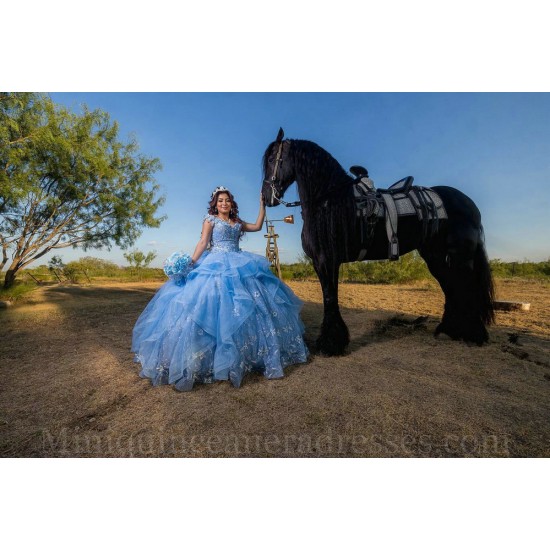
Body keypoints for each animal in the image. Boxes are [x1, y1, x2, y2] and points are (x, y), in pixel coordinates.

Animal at [260, 128, 498, 358]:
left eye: (272, 159)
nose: (265, 197)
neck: (330, 202)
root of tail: (468, 204)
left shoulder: (327, 261)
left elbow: (330, 297)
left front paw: (331, 344)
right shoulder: (321, 263)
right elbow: (329, 297)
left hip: (461, 257)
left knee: (467, 288)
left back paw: (475, 335)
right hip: (437, 258)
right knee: (451, 288)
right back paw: (449, 330)